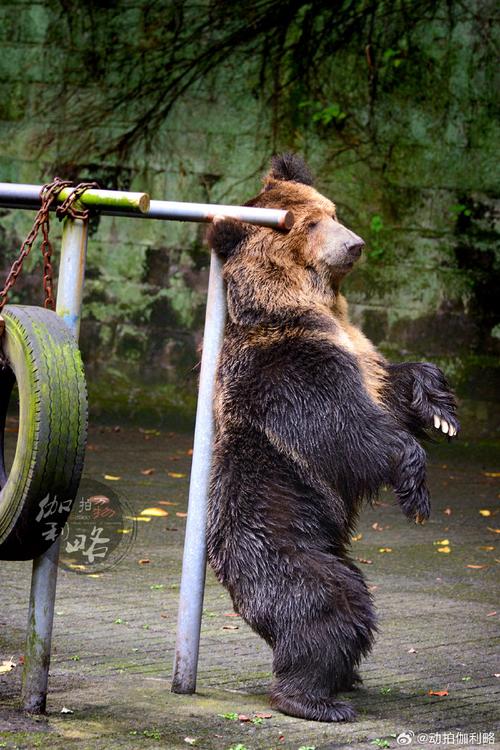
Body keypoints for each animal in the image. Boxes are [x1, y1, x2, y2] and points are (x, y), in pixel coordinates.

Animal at [205, 153, 459, 722]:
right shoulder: (286, 366)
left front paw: (440, 411)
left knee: (353, 600)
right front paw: (416, 488)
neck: (307, 304)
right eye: (310, 224)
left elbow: (392, 385)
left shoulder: (358, 347)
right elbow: (343, 430)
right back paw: (314, 698)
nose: (355, 243)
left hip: (327, 544)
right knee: (325, 605)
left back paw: (344, 681)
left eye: (332, 211)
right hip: (277, 538)